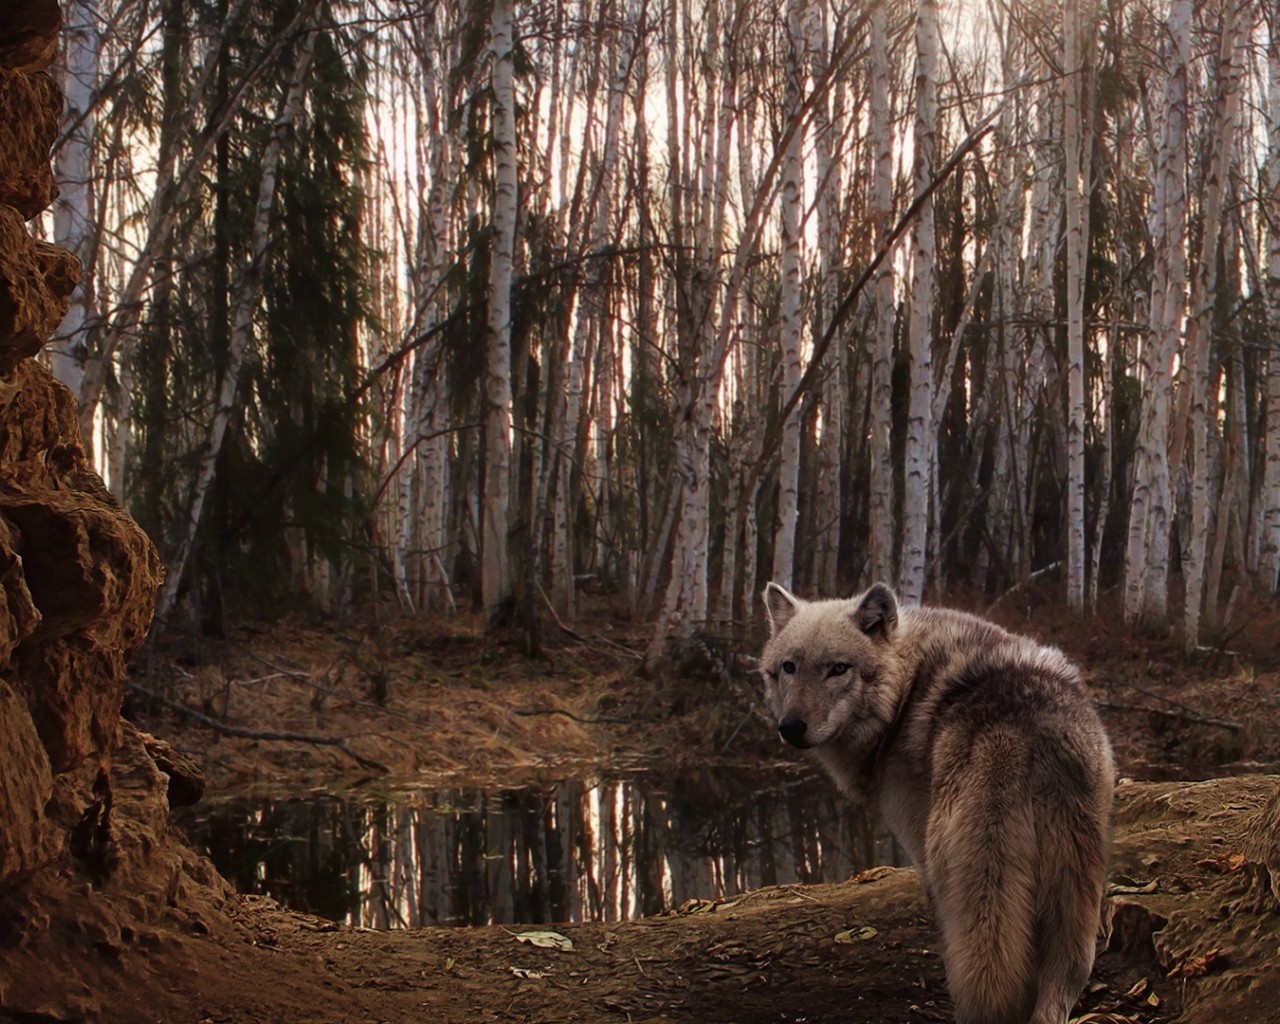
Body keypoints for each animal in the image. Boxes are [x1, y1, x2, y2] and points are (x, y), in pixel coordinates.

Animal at [757, 583, 1111, 1024]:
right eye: (789, 667)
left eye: (838, 669)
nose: (791, 728)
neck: (905, 694)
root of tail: (1021, 732)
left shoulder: (921, 852)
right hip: (1074, 898)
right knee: (1059, 988)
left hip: (961, 873)